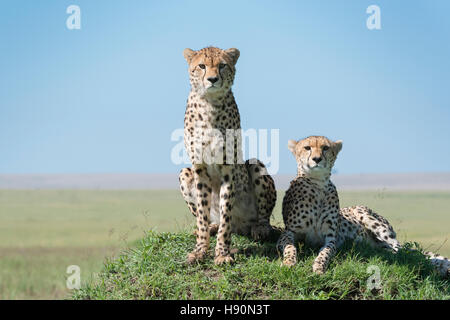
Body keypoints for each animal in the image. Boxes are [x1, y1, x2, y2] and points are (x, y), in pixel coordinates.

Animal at [178, 47, 276, 264]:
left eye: (222, 65)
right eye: (202, 66)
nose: (213, 79)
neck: (209, 104)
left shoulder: (227, 168)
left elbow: (226, 216)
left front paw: (222, 253)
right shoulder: (199, 168)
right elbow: (202, 215)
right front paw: (200, 250)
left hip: (255, 165)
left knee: (262, 216)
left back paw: (260, 228)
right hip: (184, 173)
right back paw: (212, 227)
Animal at [278, 136, 450, 278]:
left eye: (325, 148)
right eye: (307, 147)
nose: (317, 159)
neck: (318, 183)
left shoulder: (331, 238)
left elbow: (324, 253)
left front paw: (319, 267)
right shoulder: (289, 232)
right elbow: (290, 248)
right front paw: (289, 262)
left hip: (370, 219)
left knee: (406, 251)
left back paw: (440, 266)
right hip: (379, 243)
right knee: (398, 251)